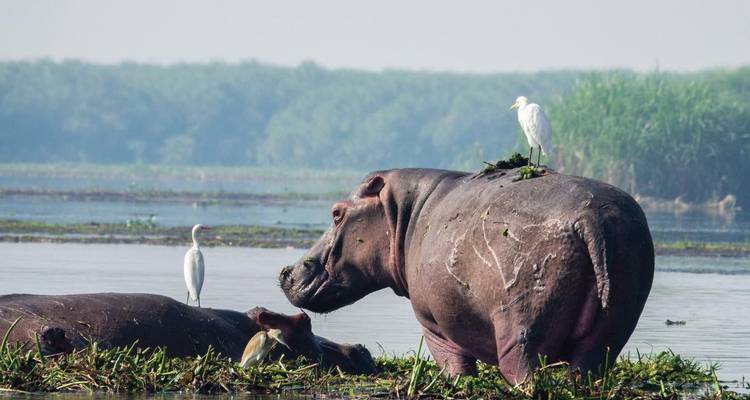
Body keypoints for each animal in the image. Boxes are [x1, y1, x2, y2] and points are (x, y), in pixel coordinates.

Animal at [280, 167, 654, 383]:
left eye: (336, 212)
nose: (287, 272)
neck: (403, 213)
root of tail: (591, 218)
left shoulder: (433, 323)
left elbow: (454, 365)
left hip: (521, 328)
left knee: (523, 369)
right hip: (611, 331)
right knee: (589, 366)